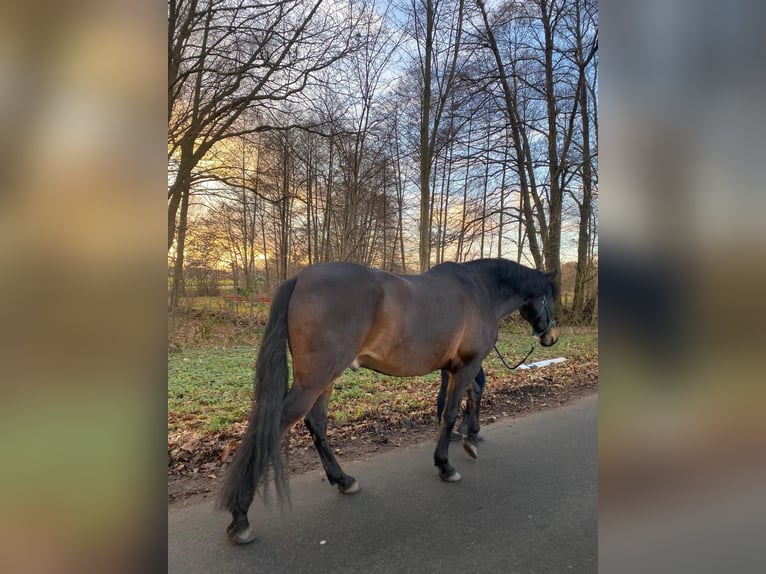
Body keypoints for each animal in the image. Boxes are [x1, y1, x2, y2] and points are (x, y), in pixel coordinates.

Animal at [219, 258, 559, 544]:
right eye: (551, 298)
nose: (551, 337)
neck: (480, 291)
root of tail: (301, 277)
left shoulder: (454, 368)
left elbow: (468, 396)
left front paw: (470, 435)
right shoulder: (467, 365)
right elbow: (451, 411)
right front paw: (446, 463)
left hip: (323, 380)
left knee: (316, 425)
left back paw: (343, 480)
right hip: (313, 381)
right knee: (272, 427)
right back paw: (240, 517)